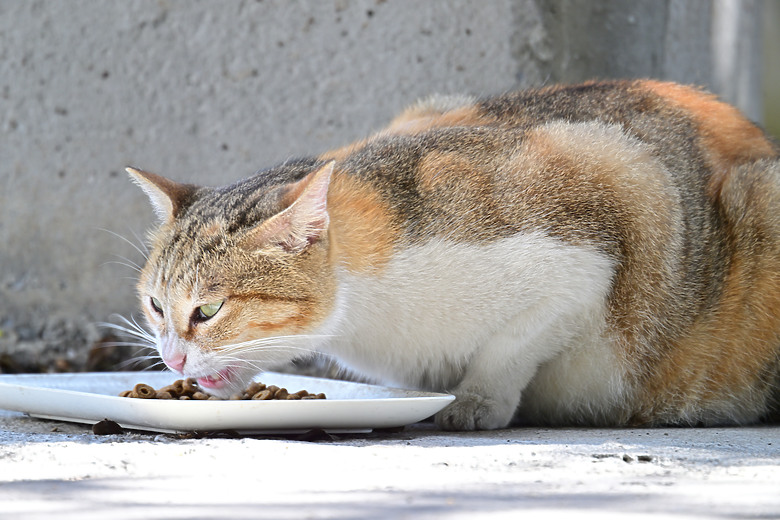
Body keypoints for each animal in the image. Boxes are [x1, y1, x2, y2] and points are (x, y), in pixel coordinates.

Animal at [128, 80, 780, 430]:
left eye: (208, 310)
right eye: (157, 306)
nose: (172, 359)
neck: (371, 317)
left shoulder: (607, 214)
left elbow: (510, 345)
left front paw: (475, 402)